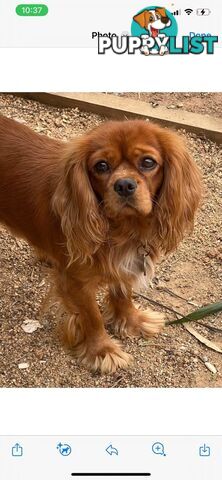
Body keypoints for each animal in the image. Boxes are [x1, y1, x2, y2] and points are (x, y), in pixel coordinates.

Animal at [0, 114, 201, 374]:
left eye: (148, 162)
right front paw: (102, 351)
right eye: (101, 166)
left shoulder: (125, 265)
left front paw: (134, 321)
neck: (122, 230)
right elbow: (92, 317)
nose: (124, 185)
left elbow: (123, 295)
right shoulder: (77, 282)